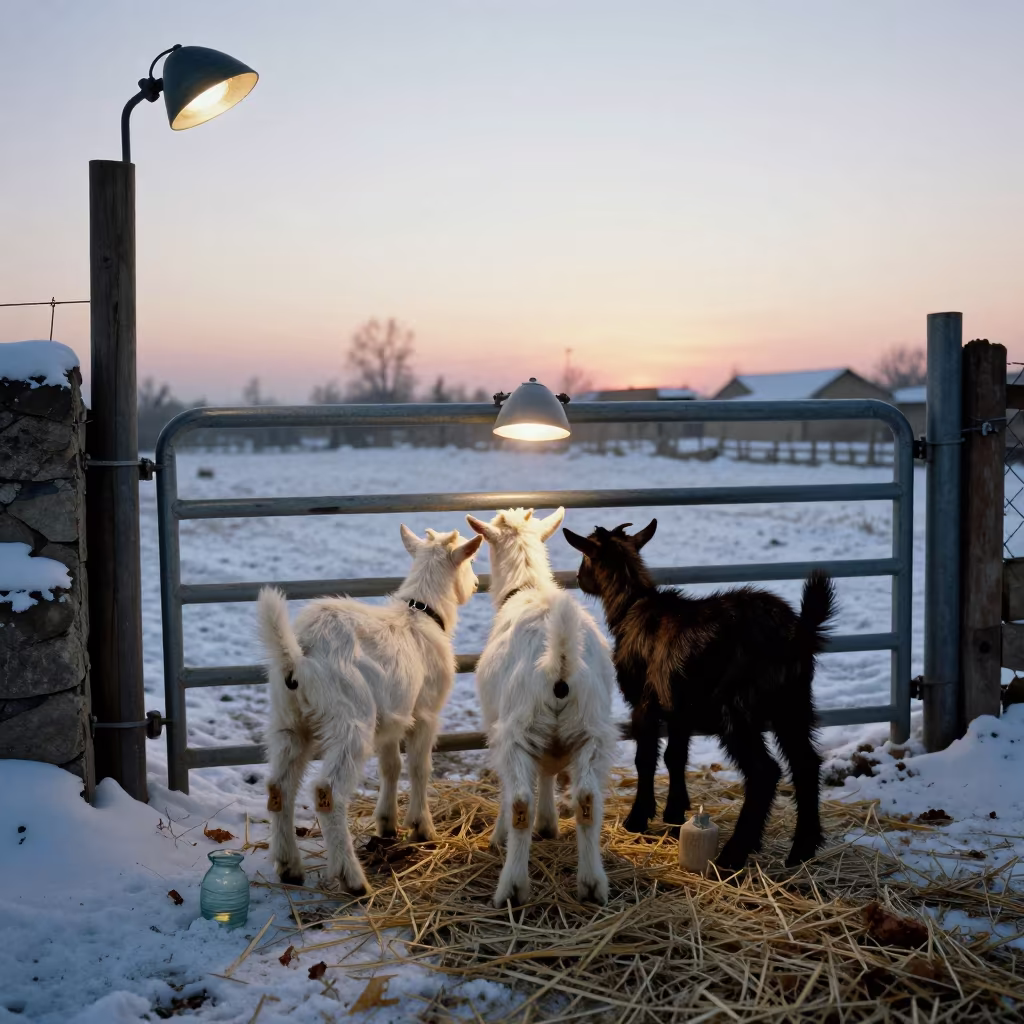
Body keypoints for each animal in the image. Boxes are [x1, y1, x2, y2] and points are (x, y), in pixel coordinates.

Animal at [258, 525, 482, 894]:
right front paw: (423, 828)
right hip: (350, 718)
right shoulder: (426, 713)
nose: (477, 584)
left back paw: (289, 867)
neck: (421, 613)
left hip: (288, 720)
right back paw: (353, 879)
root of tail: (299, 654)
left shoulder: (392, 715)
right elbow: (420, 767)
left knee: (279, 786)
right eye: (471, 560)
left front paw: (388, 824)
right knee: (327, 791)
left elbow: (391, 766)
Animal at [467, 507, 619, 906]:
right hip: (592, 729)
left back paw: (512, 887)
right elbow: (549, 769)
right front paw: (550, 825)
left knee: (520, 799)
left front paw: (500, 836)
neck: (528, 586)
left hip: (517, 727)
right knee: (587, 799)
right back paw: (592, 884)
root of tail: (560, 661)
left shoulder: (496, 724)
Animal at [563, 519, 835, 871]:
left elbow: (645, 758)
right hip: (794, 702)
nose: (578, 579)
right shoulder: (678, 704)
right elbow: (675, 756)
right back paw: (802, 848)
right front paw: (675, 814)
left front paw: (638, 818)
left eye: (585, 557)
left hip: (737, 707)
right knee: (806, 763)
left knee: (765, 772)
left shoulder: (645, 701)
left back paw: (734, 854)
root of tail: (796, 634)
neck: (632, 606)